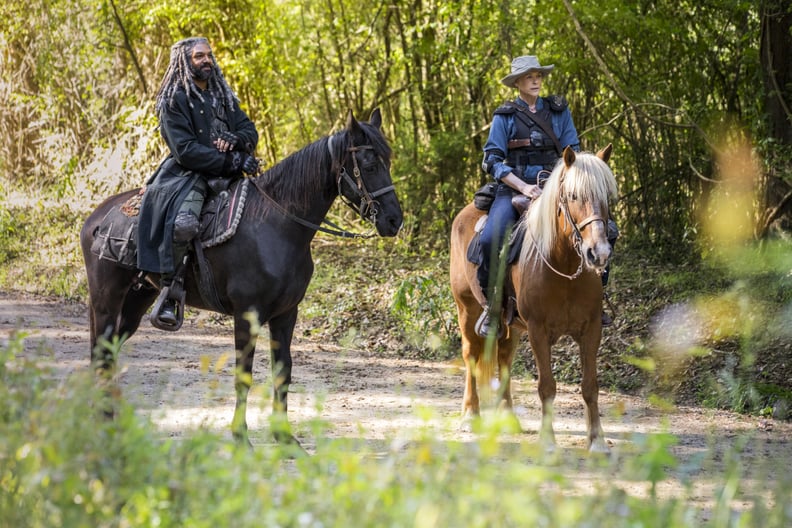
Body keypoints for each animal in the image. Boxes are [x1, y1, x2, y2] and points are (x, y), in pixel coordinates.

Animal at [82, 110, 402, 446]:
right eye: (369, 165)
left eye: (387, 161)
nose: (394, 220)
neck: (277, 225)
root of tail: (96, 218)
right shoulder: (247, 314)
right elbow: (244, 374)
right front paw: (240, 436)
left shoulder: (286, 314)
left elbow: (283, 371)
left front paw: (284, 437)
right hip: (107, 300)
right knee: (101, 355)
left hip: (137, 300)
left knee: (107, 355)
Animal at [452, 145, 620, 454]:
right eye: (573, 196)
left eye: (606, 196)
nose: (598, 253)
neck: (564, 267)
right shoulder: (538, 330)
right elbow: (547, 386)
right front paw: (548, 441)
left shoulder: (591, 329)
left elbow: (590, 386)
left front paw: (597, 441)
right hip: (467, 309)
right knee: (471, 355)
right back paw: (470, 414)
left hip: (512, 326)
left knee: (504, 358)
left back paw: (508, 419)